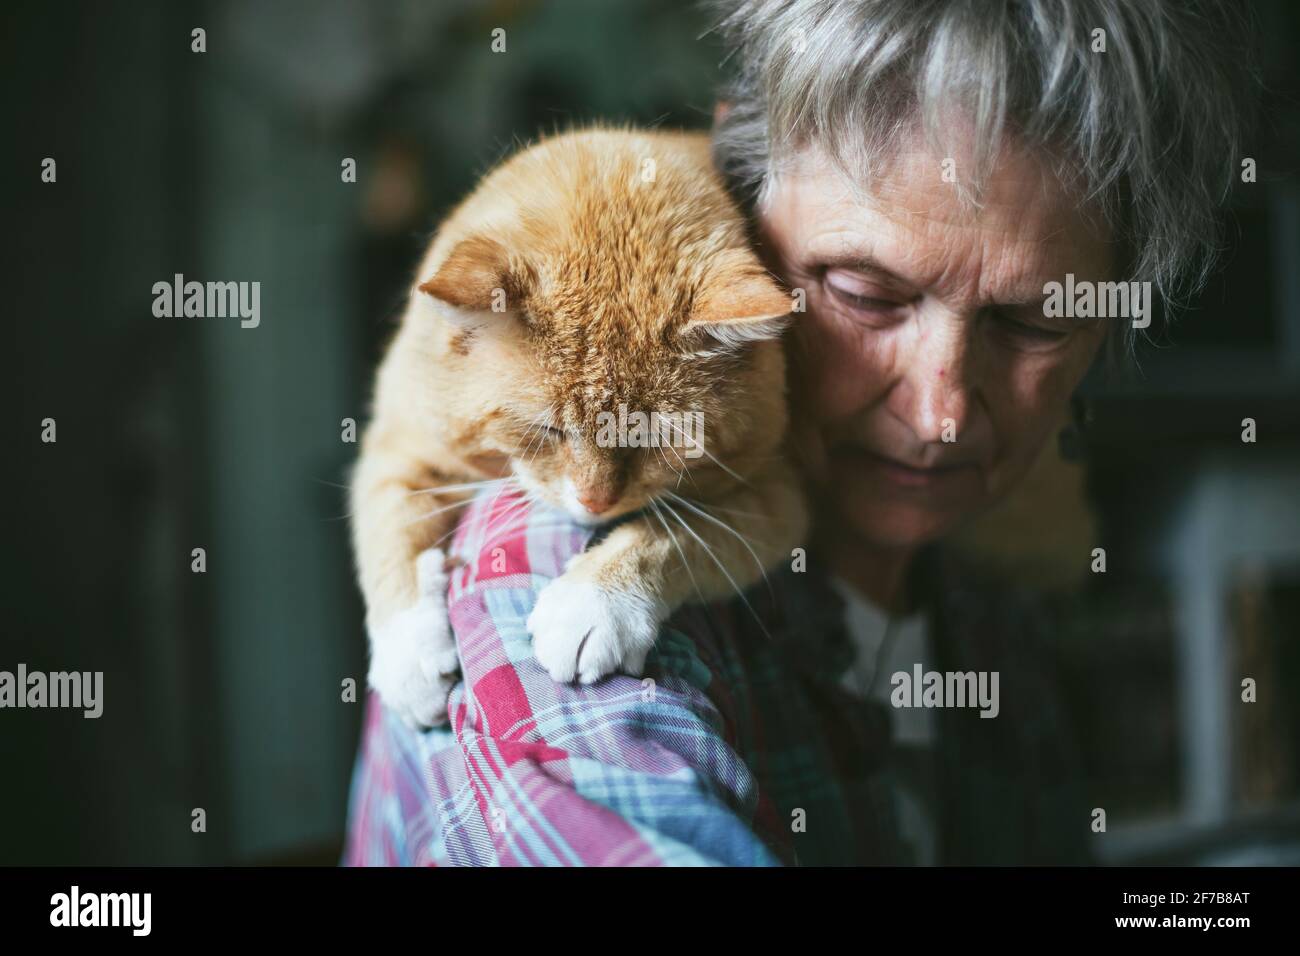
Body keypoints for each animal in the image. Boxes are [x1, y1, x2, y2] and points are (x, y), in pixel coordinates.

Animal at [351, 125, 806, 723]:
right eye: (547, 430)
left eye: (655, 437)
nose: (595, 502)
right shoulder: (399, 442)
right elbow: (390, 526)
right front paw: (408, 657)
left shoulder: (778, 492)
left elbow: (671, 533)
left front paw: (594, 604)